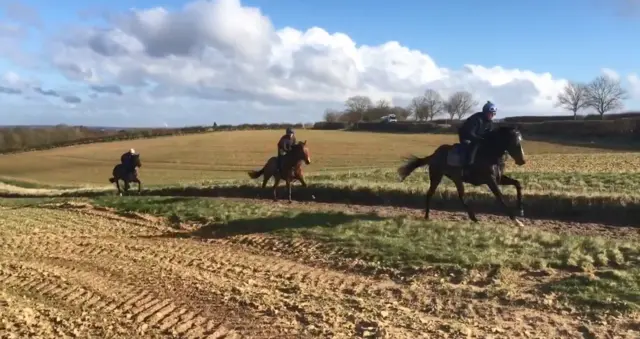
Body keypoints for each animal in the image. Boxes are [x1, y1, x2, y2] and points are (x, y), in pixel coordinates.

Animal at [398, 126, 528, 227]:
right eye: (514, 142)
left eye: (521, 141)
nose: (522, 161)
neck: (490, 153)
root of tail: (434, 154)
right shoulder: (490, 180)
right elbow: (500, 197)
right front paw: (516, 221)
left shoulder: (498, 178)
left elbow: (517, 183)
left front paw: (521, 209)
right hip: (439, 176)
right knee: (439, 194)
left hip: (453, 178)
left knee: (455, 195)